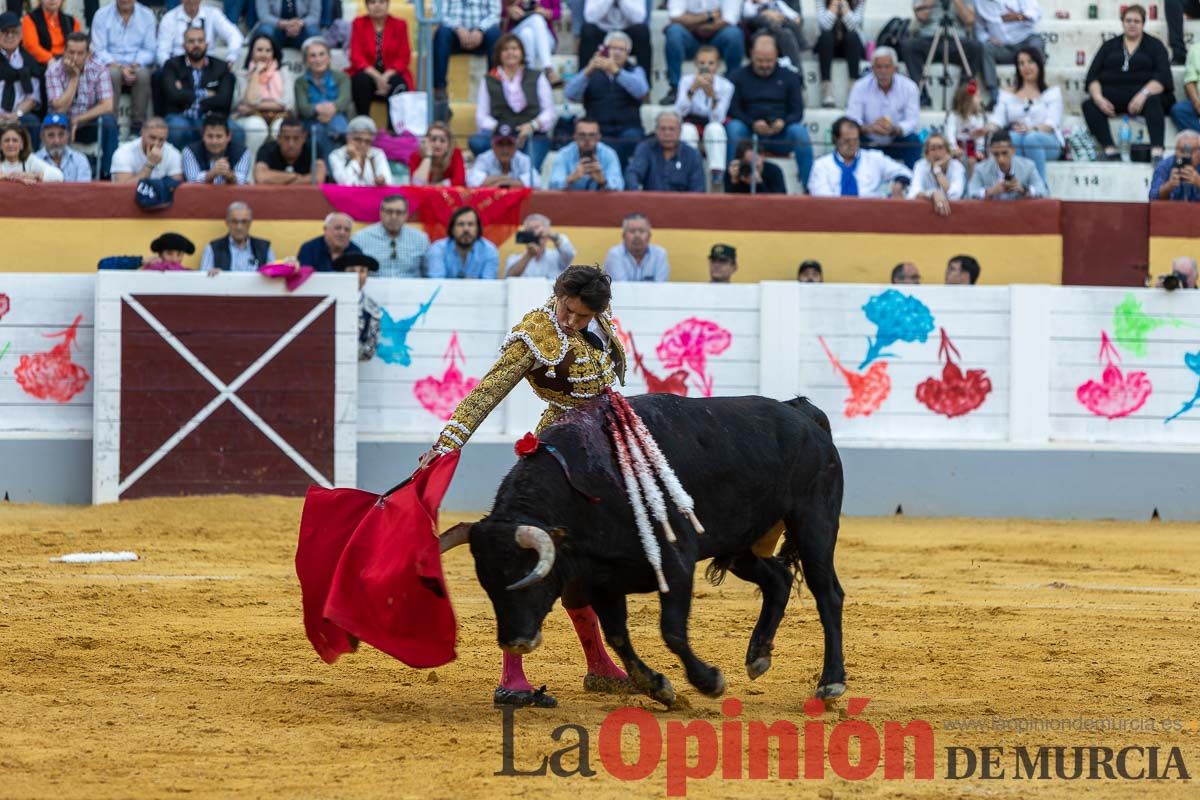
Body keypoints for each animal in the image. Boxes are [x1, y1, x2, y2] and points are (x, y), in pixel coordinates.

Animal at [439, 393, 844, 705]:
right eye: (488, 586)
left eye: (529, 577)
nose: (515, 641)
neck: (585, 484)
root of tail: (801, 413)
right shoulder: (602, 578)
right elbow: (617, 635)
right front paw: (658, 687)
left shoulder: (676, 561)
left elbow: (672, 630)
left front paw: (708, 681)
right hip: (742, 542)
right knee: (778, 578)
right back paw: (758, 656)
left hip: (814, 523)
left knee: (828, 594)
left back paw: (831, 682)